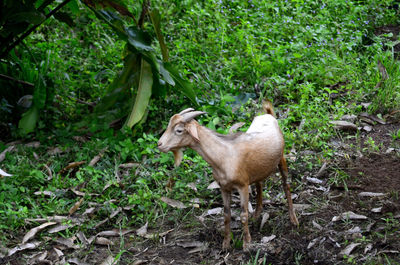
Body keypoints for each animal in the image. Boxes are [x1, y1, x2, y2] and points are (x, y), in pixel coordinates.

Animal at [158, 102, 298, 249]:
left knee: (286, 185)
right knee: (259, 185)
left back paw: (294, 220)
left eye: (179, 130)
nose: (159, 144)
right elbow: (226, 215)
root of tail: (268, 114)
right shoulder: (224, 188)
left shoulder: (243, 186)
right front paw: (226, 244)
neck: (223, 156)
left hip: (281, 158)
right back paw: (257, 215)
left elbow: (243, 215)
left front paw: (246, 244)